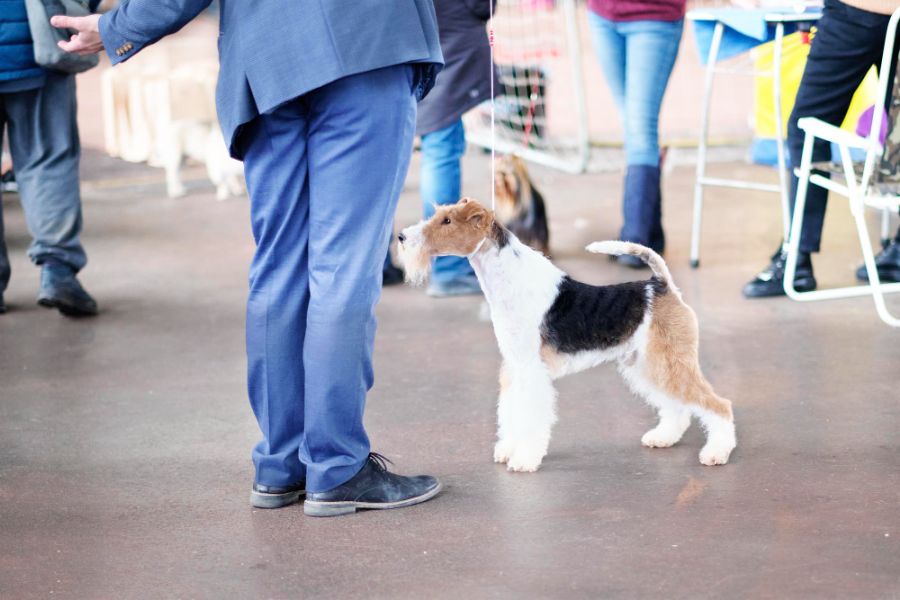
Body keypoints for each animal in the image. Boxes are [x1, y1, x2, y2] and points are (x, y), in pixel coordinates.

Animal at [398, 199, 736, 476]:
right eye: (438, 215)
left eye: (447, 221)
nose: (401, 237)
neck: (509, 279)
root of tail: (661, 285)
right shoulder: (514, 366)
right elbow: (510, 412)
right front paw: (508, 449)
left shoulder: (532, 370)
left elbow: (531, 416)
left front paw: (524, 459)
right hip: (646, 364)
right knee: (676, 406)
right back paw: (663, 437)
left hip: (668, 361)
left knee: (719, 405)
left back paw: (716, 453)